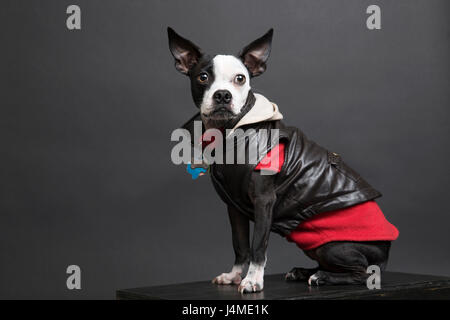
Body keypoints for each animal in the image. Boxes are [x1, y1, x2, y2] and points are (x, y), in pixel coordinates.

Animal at [168, 28, 398, 294]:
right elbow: (240, 244)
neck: (229, 133)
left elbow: (257, 245)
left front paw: (253, 281)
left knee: (364, 273)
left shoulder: (263, 201)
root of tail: (386, 251)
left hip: (334, 247)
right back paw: (305, 271)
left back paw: (323, 277)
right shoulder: (233, 205)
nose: (223, 95)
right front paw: (234, 276)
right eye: (203, 77)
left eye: (240, 79)